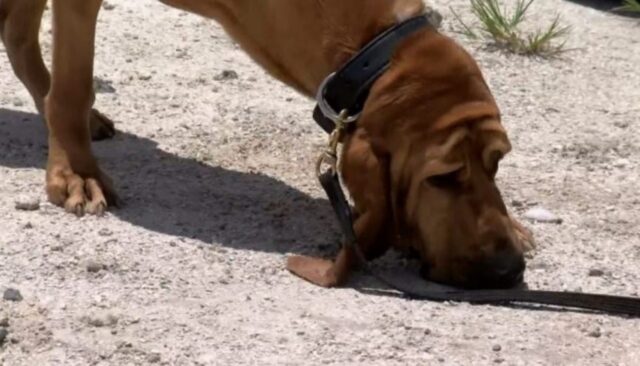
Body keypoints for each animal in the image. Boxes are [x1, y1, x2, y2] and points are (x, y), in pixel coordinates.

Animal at [0, 0, 528, 288]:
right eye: (443, 177)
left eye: (497, 163)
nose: (508, 271)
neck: (371, 45)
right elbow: (72, 87)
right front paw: (76, 172)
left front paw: (517, 226)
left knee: (17, 34)